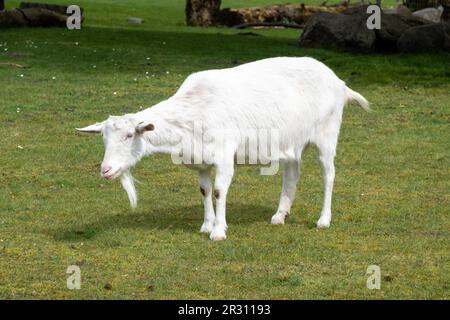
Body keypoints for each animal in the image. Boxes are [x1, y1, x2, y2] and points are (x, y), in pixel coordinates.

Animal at [77, 57, 370, 240]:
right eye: (103, 138)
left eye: (129, 135)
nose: (106, 170)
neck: (194, 108)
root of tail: (340, 83)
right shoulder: (201, 160)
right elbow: (205, 190)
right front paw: (206, 225)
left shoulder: (224, 156)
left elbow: (219, 191)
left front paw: (219, 231)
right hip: (291, 141)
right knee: (292, 173)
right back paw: (280, 215)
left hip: (327, 135)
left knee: (328, 175)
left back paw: (323, 220)